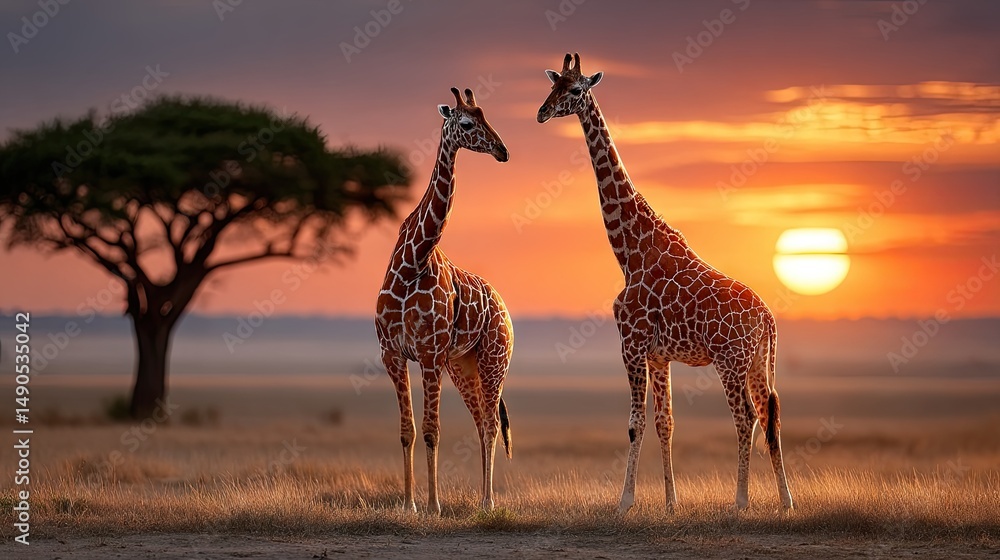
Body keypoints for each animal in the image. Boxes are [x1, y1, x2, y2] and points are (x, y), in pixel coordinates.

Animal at [375, 87, 514, 514]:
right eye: (466, 123)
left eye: (486, 116)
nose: (502, 150)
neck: (411, 262)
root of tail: (504, 309)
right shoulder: (393, 353)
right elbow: (407, 430)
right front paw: (408, 505)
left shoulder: (430, 354)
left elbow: (432, 430)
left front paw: (434, 506)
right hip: (463, 366)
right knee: (481, 422)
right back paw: (482, 498)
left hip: (493, 360)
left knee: (490, 424)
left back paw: (488, 502)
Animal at [536, 53, 793, 513]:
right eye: (553, 85)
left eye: (576, 90)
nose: (542, 112)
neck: (629, 252)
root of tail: (767, 318)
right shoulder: (659, 355)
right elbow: (665, 422)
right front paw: (672, 503)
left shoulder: (631, 342)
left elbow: (635, 423)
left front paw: (624, 501)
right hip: (758, 361)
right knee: (771, 415)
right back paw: (786, 501)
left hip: (730, 360)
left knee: (746, 416)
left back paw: (741, 500)